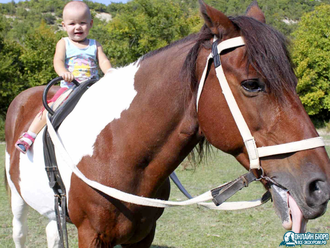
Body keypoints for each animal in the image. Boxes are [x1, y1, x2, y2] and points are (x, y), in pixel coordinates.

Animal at [4, 0, 330, 247]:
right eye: (252, 84)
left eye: (294, 82)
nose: (321, 186)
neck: (116, 149)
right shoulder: (91, 235)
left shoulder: (143, 235)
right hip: (17, 202)